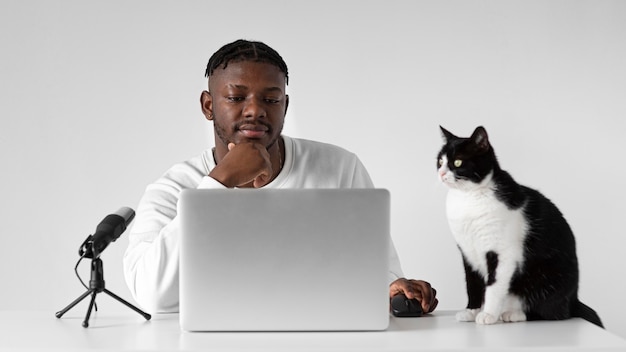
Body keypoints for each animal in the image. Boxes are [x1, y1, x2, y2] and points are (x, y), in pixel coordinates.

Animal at [434, 124, 600, 328]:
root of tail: (574, 298)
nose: (441, 173)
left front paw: (488, 314)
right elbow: (472, 284)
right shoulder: (467, 252)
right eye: (440, 161)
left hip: (550, 280)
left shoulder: (503, 253)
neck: (469, 198)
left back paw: (513, 314)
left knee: (555, 312)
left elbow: (494, 286)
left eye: (457, 162)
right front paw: (471, 311)